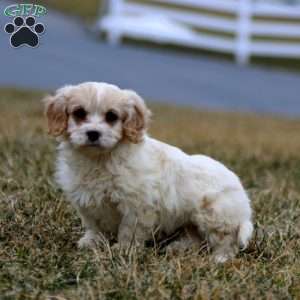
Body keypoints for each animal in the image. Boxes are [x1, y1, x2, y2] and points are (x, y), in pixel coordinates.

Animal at [43, 82, 252, 262]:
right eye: (79, 113)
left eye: (111, 116)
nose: (93, 133)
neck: (100, 159)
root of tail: (244, 203)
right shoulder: (87, 201)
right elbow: (94, 225)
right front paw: (91, 242)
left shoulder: (136, 206)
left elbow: (128, 230)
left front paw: (123, 250)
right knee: (195, 238)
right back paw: (177, 248)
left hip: (215, 215)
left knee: (226, 240)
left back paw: (220, 258)